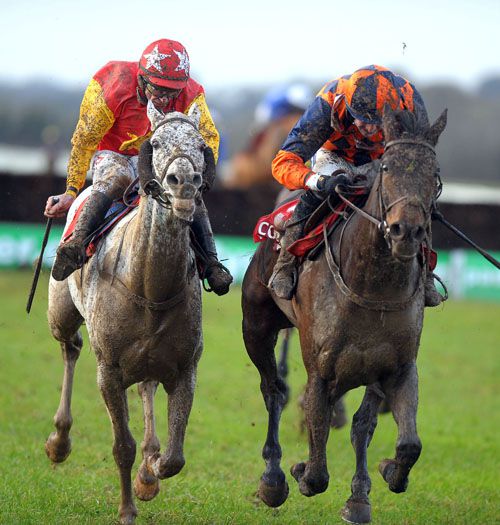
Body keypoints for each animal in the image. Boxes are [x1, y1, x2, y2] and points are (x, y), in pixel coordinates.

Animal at [44, 103, 206, 524]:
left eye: (201, 145)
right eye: (157, 142)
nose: (184, 182)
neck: (150, 286)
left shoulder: (185, 368)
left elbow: (174, 457)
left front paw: (150, 474)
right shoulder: (110, 371)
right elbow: (123, 447)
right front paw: (127, 509)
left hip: (149, 359)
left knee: (147, 387)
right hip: (60, 315)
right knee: (69, 347)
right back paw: (59, 440)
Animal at [240, 104, 448, 520]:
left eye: (434, 176)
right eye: (388, 168)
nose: (406, 231)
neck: (371, 288)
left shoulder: (396, 367)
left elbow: (398, 439)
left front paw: (371, 487)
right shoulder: (320, 368)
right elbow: (318, 465)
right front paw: (302, 471)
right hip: (255, 326)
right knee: (273, 391)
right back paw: (273, 478)